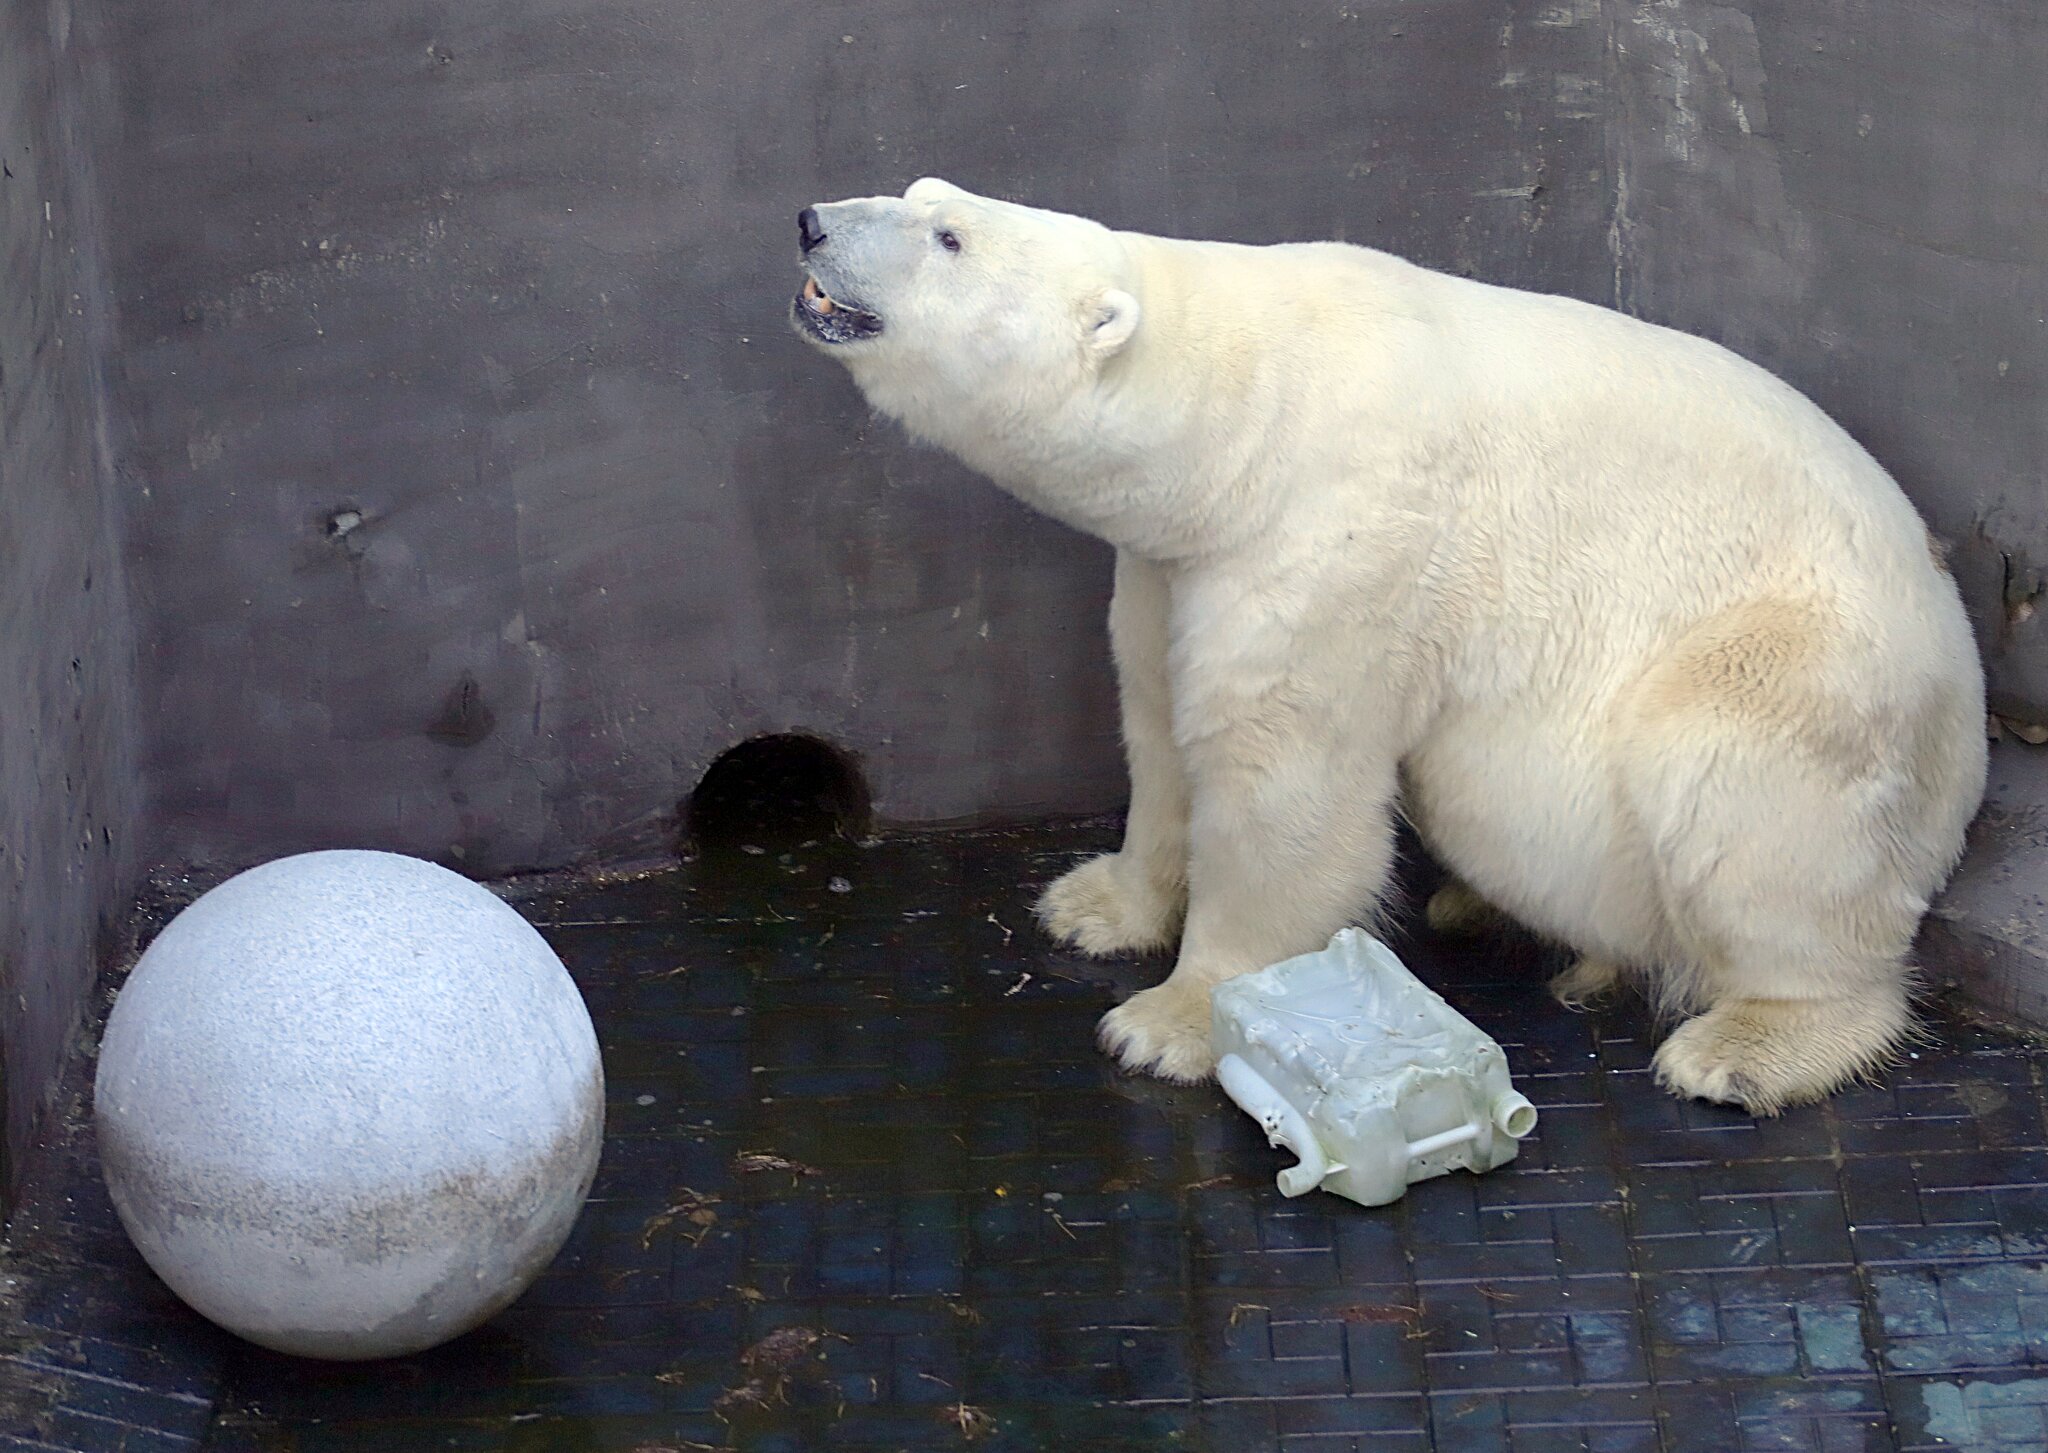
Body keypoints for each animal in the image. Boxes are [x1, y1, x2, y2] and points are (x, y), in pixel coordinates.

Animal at [790, 177, 1988, 1114]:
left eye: (949, 236)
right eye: (918, 191)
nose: (808, 222)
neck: (1243, 410)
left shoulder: (1339, 544)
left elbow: (1287, 787)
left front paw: (1172, 1019)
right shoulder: (1173, 565)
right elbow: (1158, 726)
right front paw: (1095, 904)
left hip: (1812, 673)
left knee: (1740, 800)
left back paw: (1745, 1045)